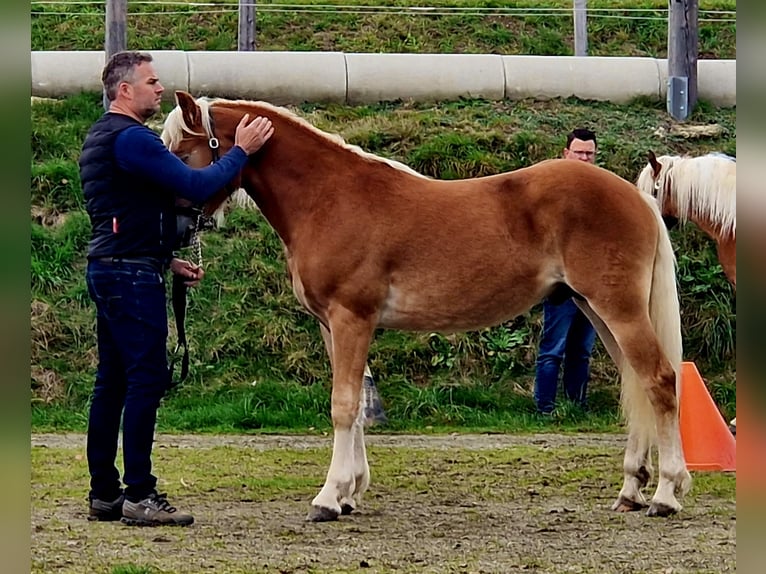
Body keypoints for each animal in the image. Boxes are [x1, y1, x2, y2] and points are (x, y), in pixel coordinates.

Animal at [161, 90, 691, 521]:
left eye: (181, 151)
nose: (174, 228)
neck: (328, 197)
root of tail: (638, 198)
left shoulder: (351, 318)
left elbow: (343, 405)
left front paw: (330, 497)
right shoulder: (333, 325)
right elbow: (355, 405)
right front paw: (351, 493)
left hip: (619, 310)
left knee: (660, 380)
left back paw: (666, 494)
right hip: (595, 310)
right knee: (637, 383)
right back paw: (631, 490)